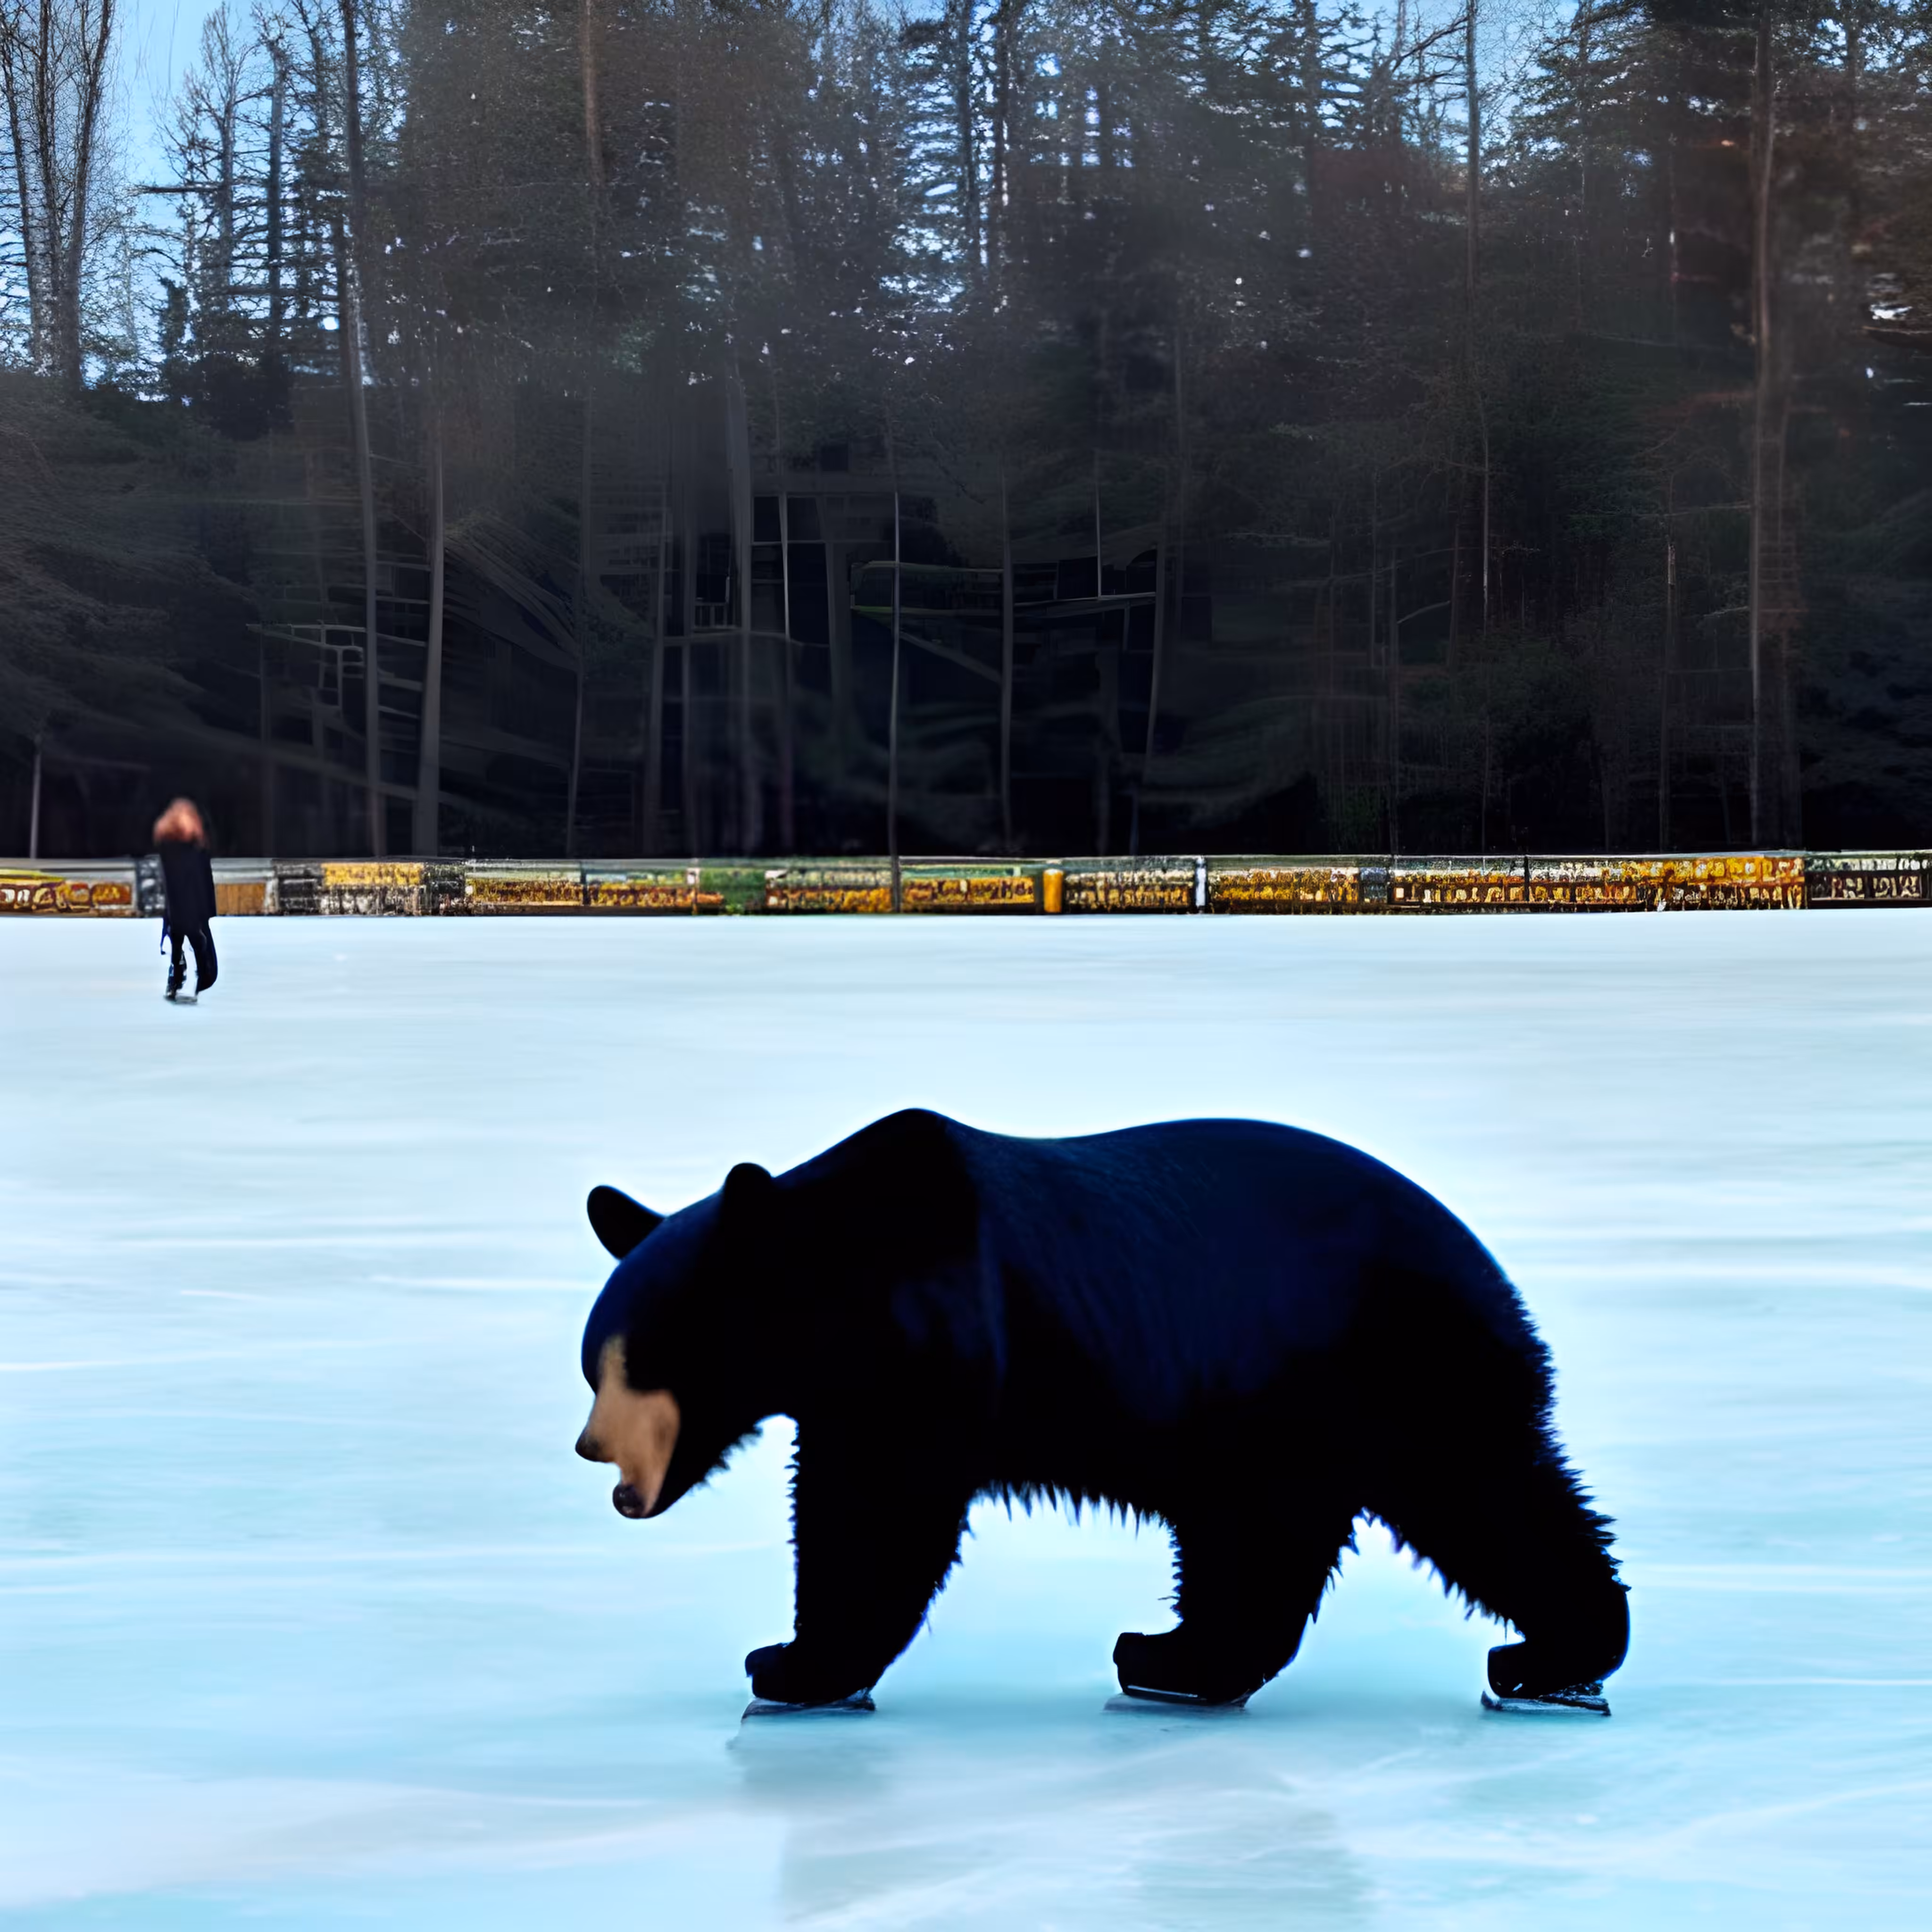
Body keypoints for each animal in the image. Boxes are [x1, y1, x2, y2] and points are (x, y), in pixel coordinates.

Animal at [575, 1108, 1629, 1713]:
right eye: (593, 1362)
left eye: (639, 1361)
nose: (592, 1450)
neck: (847, 1270)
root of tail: (1497, 1280)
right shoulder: (851, 1380)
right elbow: (841, 1494)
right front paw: (798, 1658)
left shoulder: (937, 1339)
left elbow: (877, 1510)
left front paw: (794, 1664)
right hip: (1285, 1403)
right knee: (1271, 1538)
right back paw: (1180, 1657)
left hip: (1372, 1359)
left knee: (1480, 1497)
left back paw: (1546, 1655)